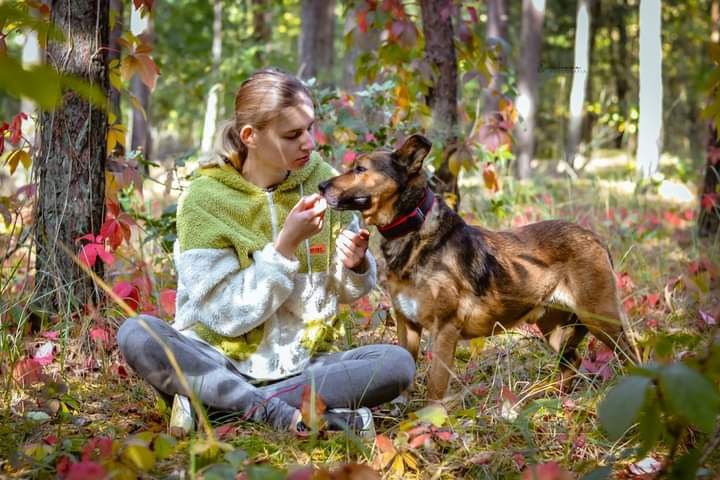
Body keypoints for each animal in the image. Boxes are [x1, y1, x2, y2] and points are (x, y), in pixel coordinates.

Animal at [320, 134, 636, 402]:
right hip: (553, 327)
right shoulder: (407, 324)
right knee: (572, 363)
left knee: (631, 354)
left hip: (601, 318)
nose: (320, 187)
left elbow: (435, 387)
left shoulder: (444, 329)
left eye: (360, 169)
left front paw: (426, 425)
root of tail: (595, 237)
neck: (414, 229)